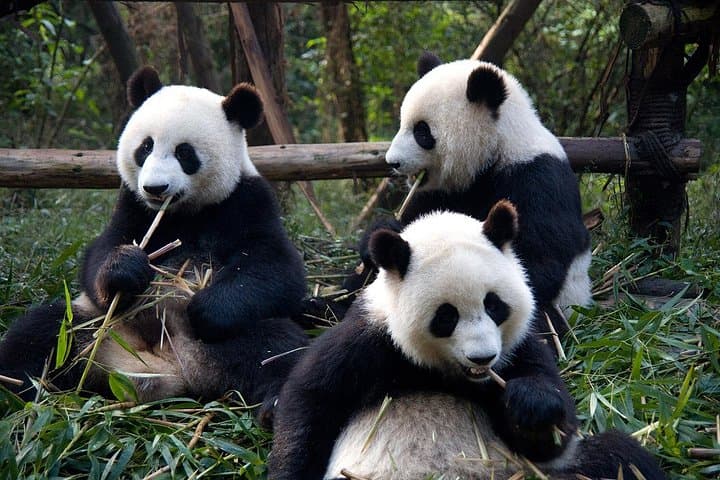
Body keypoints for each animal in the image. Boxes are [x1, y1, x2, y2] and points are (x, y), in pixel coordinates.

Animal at [0, 67, 308, 419]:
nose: (155, 188)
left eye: (185, 153)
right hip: (92, 327)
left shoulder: (246, 200)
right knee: (41, 331)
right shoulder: (133, 205)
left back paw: (278, 406)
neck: (183, 211)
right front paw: (126, 270)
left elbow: (277, 267)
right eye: (145, 147)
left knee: (277, 349)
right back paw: (13, 389)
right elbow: (100, 253)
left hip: (238, 336)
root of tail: (168, 369)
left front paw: (204, 308)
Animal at [269, 203, 664, 480]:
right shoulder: (370, 339)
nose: (483, 358)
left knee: (620, 459)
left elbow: (554, 431)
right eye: (446, 317)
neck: (447, 374)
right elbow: (312, 397)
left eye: (494, 305)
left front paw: (531, 404)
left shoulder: (519, 346)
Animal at [320, 52, 591, 340]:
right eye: (402, 123)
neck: (498, 148)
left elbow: (536, 261)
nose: (392, 162)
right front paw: (383, 231)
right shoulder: (441, 191)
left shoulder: (536, 181)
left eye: (422, 131)